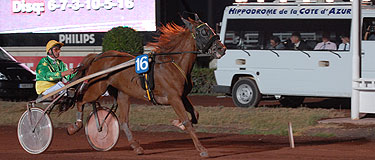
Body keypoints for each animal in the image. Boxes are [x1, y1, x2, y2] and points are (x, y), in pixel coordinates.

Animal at [67, 16, 226, 158]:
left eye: (211, 29)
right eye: (204, 32)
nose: (221, 48)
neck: (173, 63)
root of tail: (98, 56)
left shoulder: (182, 96)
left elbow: (195, 115)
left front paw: (178, 123)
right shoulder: (174, 98)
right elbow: (188, 121)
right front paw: (201, 149)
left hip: (123, 94)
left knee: (124, 121)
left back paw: (136, 146)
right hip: (97, 88)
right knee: (80, 100)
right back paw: (75, 126)